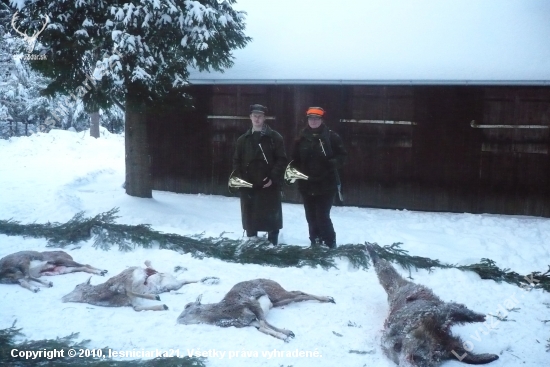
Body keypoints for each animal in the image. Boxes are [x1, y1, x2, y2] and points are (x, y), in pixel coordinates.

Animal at [63, 262, 220, 314]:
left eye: (77, 286)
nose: (63, 297)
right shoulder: (134, 302)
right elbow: (137, 307)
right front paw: (163, 305)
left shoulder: (131, 279)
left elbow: (130, 289)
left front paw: (156, 297)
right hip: (172, 284)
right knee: (183, 280)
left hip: (171, 282)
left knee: (184, 279)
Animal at [177, 280, 336, 344]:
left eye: (189, 309)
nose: (177, 320)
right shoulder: (251, 321)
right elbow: (264, 328)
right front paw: (287, 334)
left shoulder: (254, 307)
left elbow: (265, 325)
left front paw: (286, 335)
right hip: (279, 301)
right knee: (299, 295)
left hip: (278, 294)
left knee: (299, 293)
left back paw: (329, 298)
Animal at [366, 244, 500, 367]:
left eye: (397, 347)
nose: (410, 361)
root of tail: (398, 290)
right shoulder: (445, 342)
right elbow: (463, 353)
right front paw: (485, 357)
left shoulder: (431, 317)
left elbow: (450, 312)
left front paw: (475, 316)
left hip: (413, 290)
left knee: (385, 270)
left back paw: (373, 252)